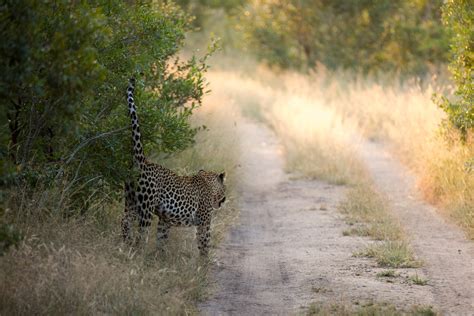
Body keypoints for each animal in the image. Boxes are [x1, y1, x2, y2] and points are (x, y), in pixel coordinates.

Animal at [121, 78, 227, 256]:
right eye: (225, 189)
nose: (224, 199)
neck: (208, 184)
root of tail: (142, 162)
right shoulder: (204, 222)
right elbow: (204, 245)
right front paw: (204, 263)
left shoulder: (165, 220)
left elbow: (161, 240)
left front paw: (159, 257)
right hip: (146, 208)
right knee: (141, 236)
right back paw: (137, 255)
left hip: (130, 201)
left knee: (125, 224)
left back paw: (122, 248)